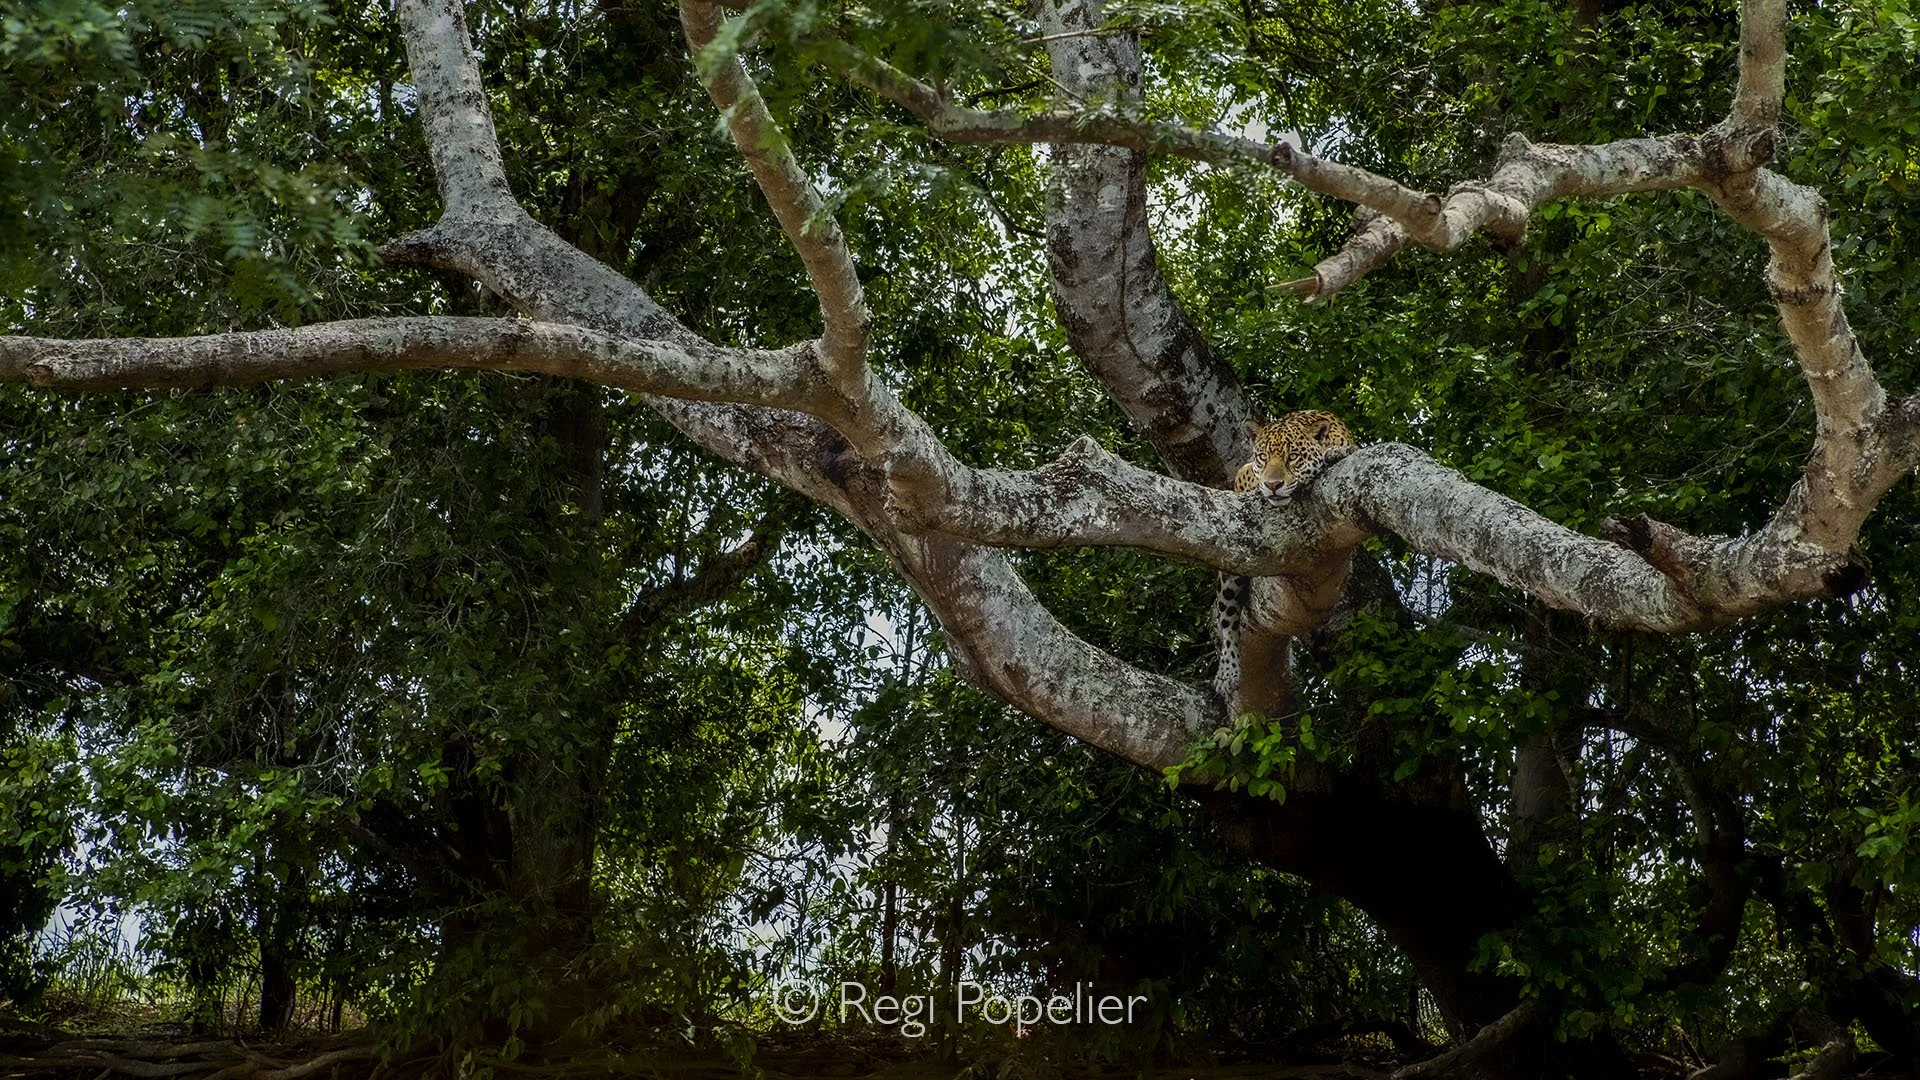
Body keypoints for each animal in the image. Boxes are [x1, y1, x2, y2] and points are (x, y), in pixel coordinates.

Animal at [1213, 410, 1356, 705]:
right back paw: (1227, 672)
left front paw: (1334, 454)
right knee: (1227, 615)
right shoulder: (1245, 473)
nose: (1273, 485)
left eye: (1293, 457)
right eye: (1262, 457)